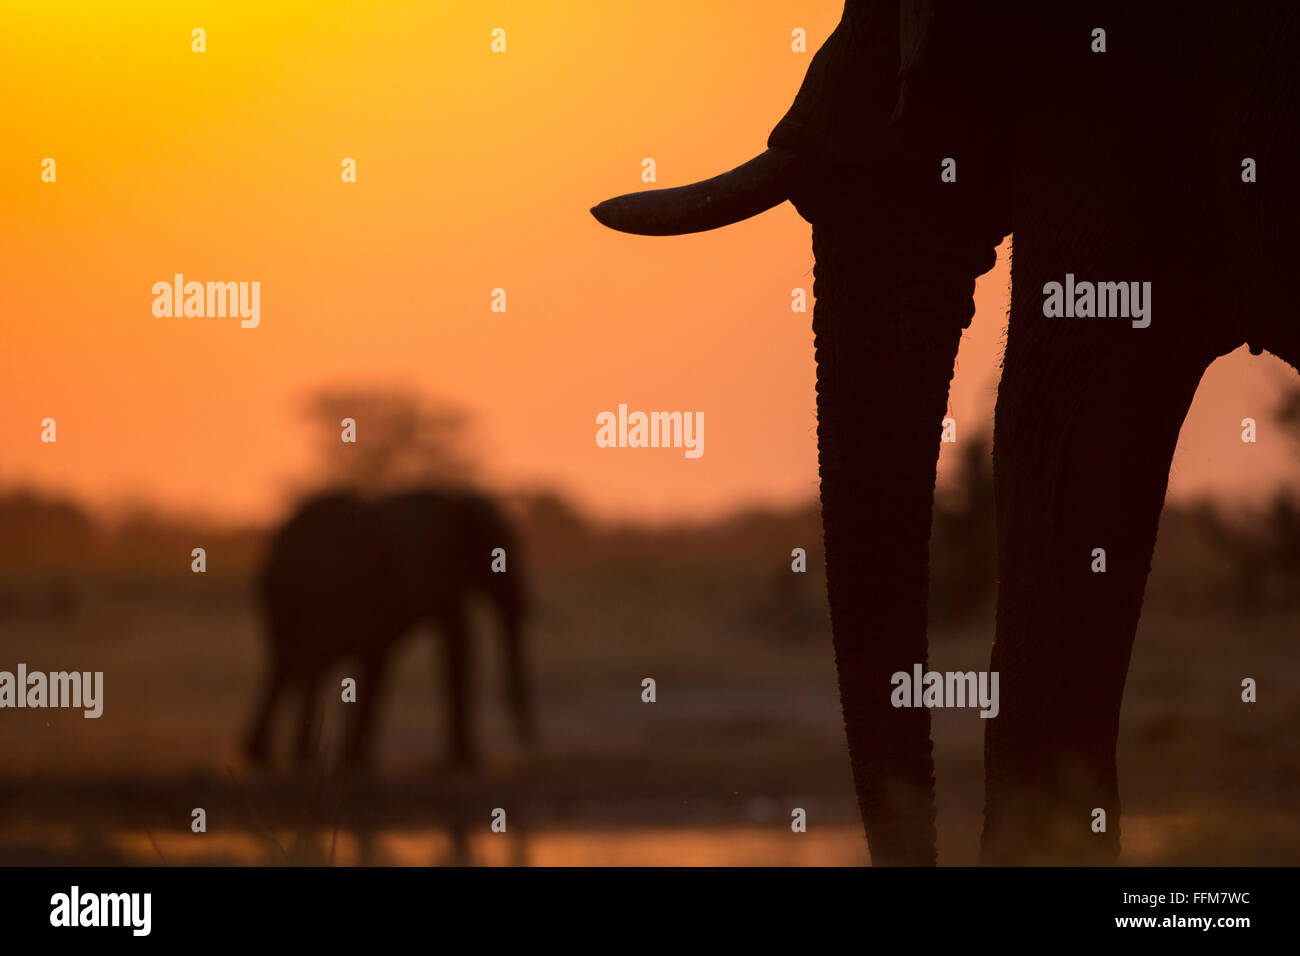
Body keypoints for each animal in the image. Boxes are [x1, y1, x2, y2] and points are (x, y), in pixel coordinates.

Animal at [244, 489, 533, 775]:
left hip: (286, 598)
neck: (459, 499)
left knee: (286, 663)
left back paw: (266, 755)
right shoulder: (437, 576)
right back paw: (304, 755)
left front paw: (353, 761)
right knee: (311, 661)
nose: (527, 740)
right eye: (499, 554)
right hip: (324, 592)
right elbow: (457, 641)